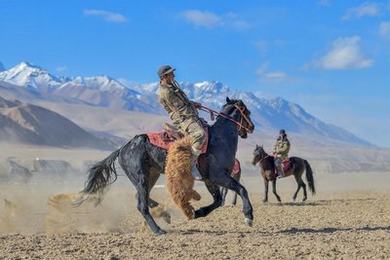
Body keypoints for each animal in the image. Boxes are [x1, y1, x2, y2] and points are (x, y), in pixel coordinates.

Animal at [79, 98, 256, 236]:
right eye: (247, 112)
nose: (252, 127)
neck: (219, 139)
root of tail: (123, 148)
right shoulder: (218, 176)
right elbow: (242, 190)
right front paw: (248, 216)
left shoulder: (209, 180)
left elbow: (218, 200)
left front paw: (197, 212)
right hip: (140, 177)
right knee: (141, 205)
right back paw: (158, 230)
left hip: (151, 175)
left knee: (140, 197)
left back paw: (164, 214)